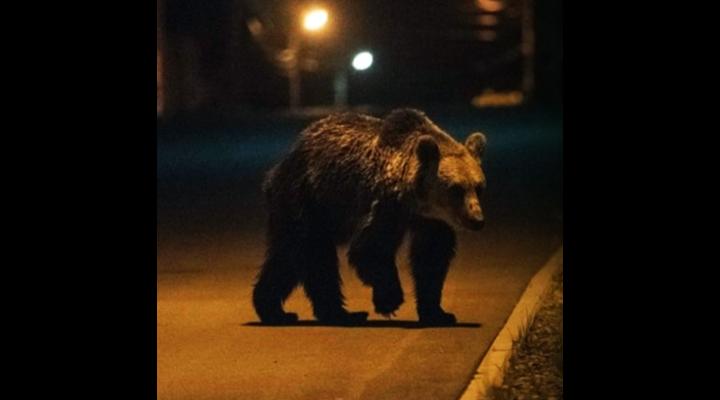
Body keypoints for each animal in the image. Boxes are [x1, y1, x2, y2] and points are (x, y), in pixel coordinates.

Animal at [250, 108, 486, 324]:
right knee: (309, 252)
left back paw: (283, 310)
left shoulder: (431, 220)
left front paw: (438, 313)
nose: (477, 220)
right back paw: (330, 313)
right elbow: (370, 248)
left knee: (292, 257)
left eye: (479, 187)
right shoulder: (386, 204)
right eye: (456, 189)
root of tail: (283, 162)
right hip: (306, 198)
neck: (416, 199)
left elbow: (432, 255)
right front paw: (390, 300)